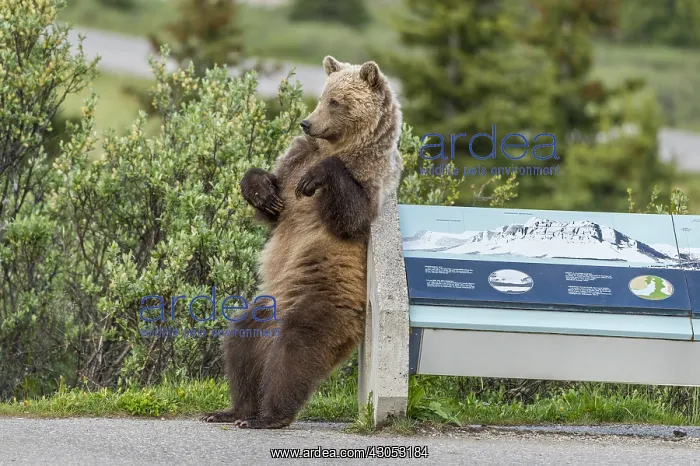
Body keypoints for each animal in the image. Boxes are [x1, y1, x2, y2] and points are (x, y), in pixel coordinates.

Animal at [200, 55, 403, 429]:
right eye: (322, 96)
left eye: (336, 101)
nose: (307, 123)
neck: (339, 144)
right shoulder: (295, 158)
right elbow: (275, 206)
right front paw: (262, 190)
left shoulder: (372, 177)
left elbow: (350, 217)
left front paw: (315, 178)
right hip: (268, 305)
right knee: (241, 341)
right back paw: (235, 409)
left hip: (324, 296)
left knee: (297, 348)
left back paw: (268, 416)